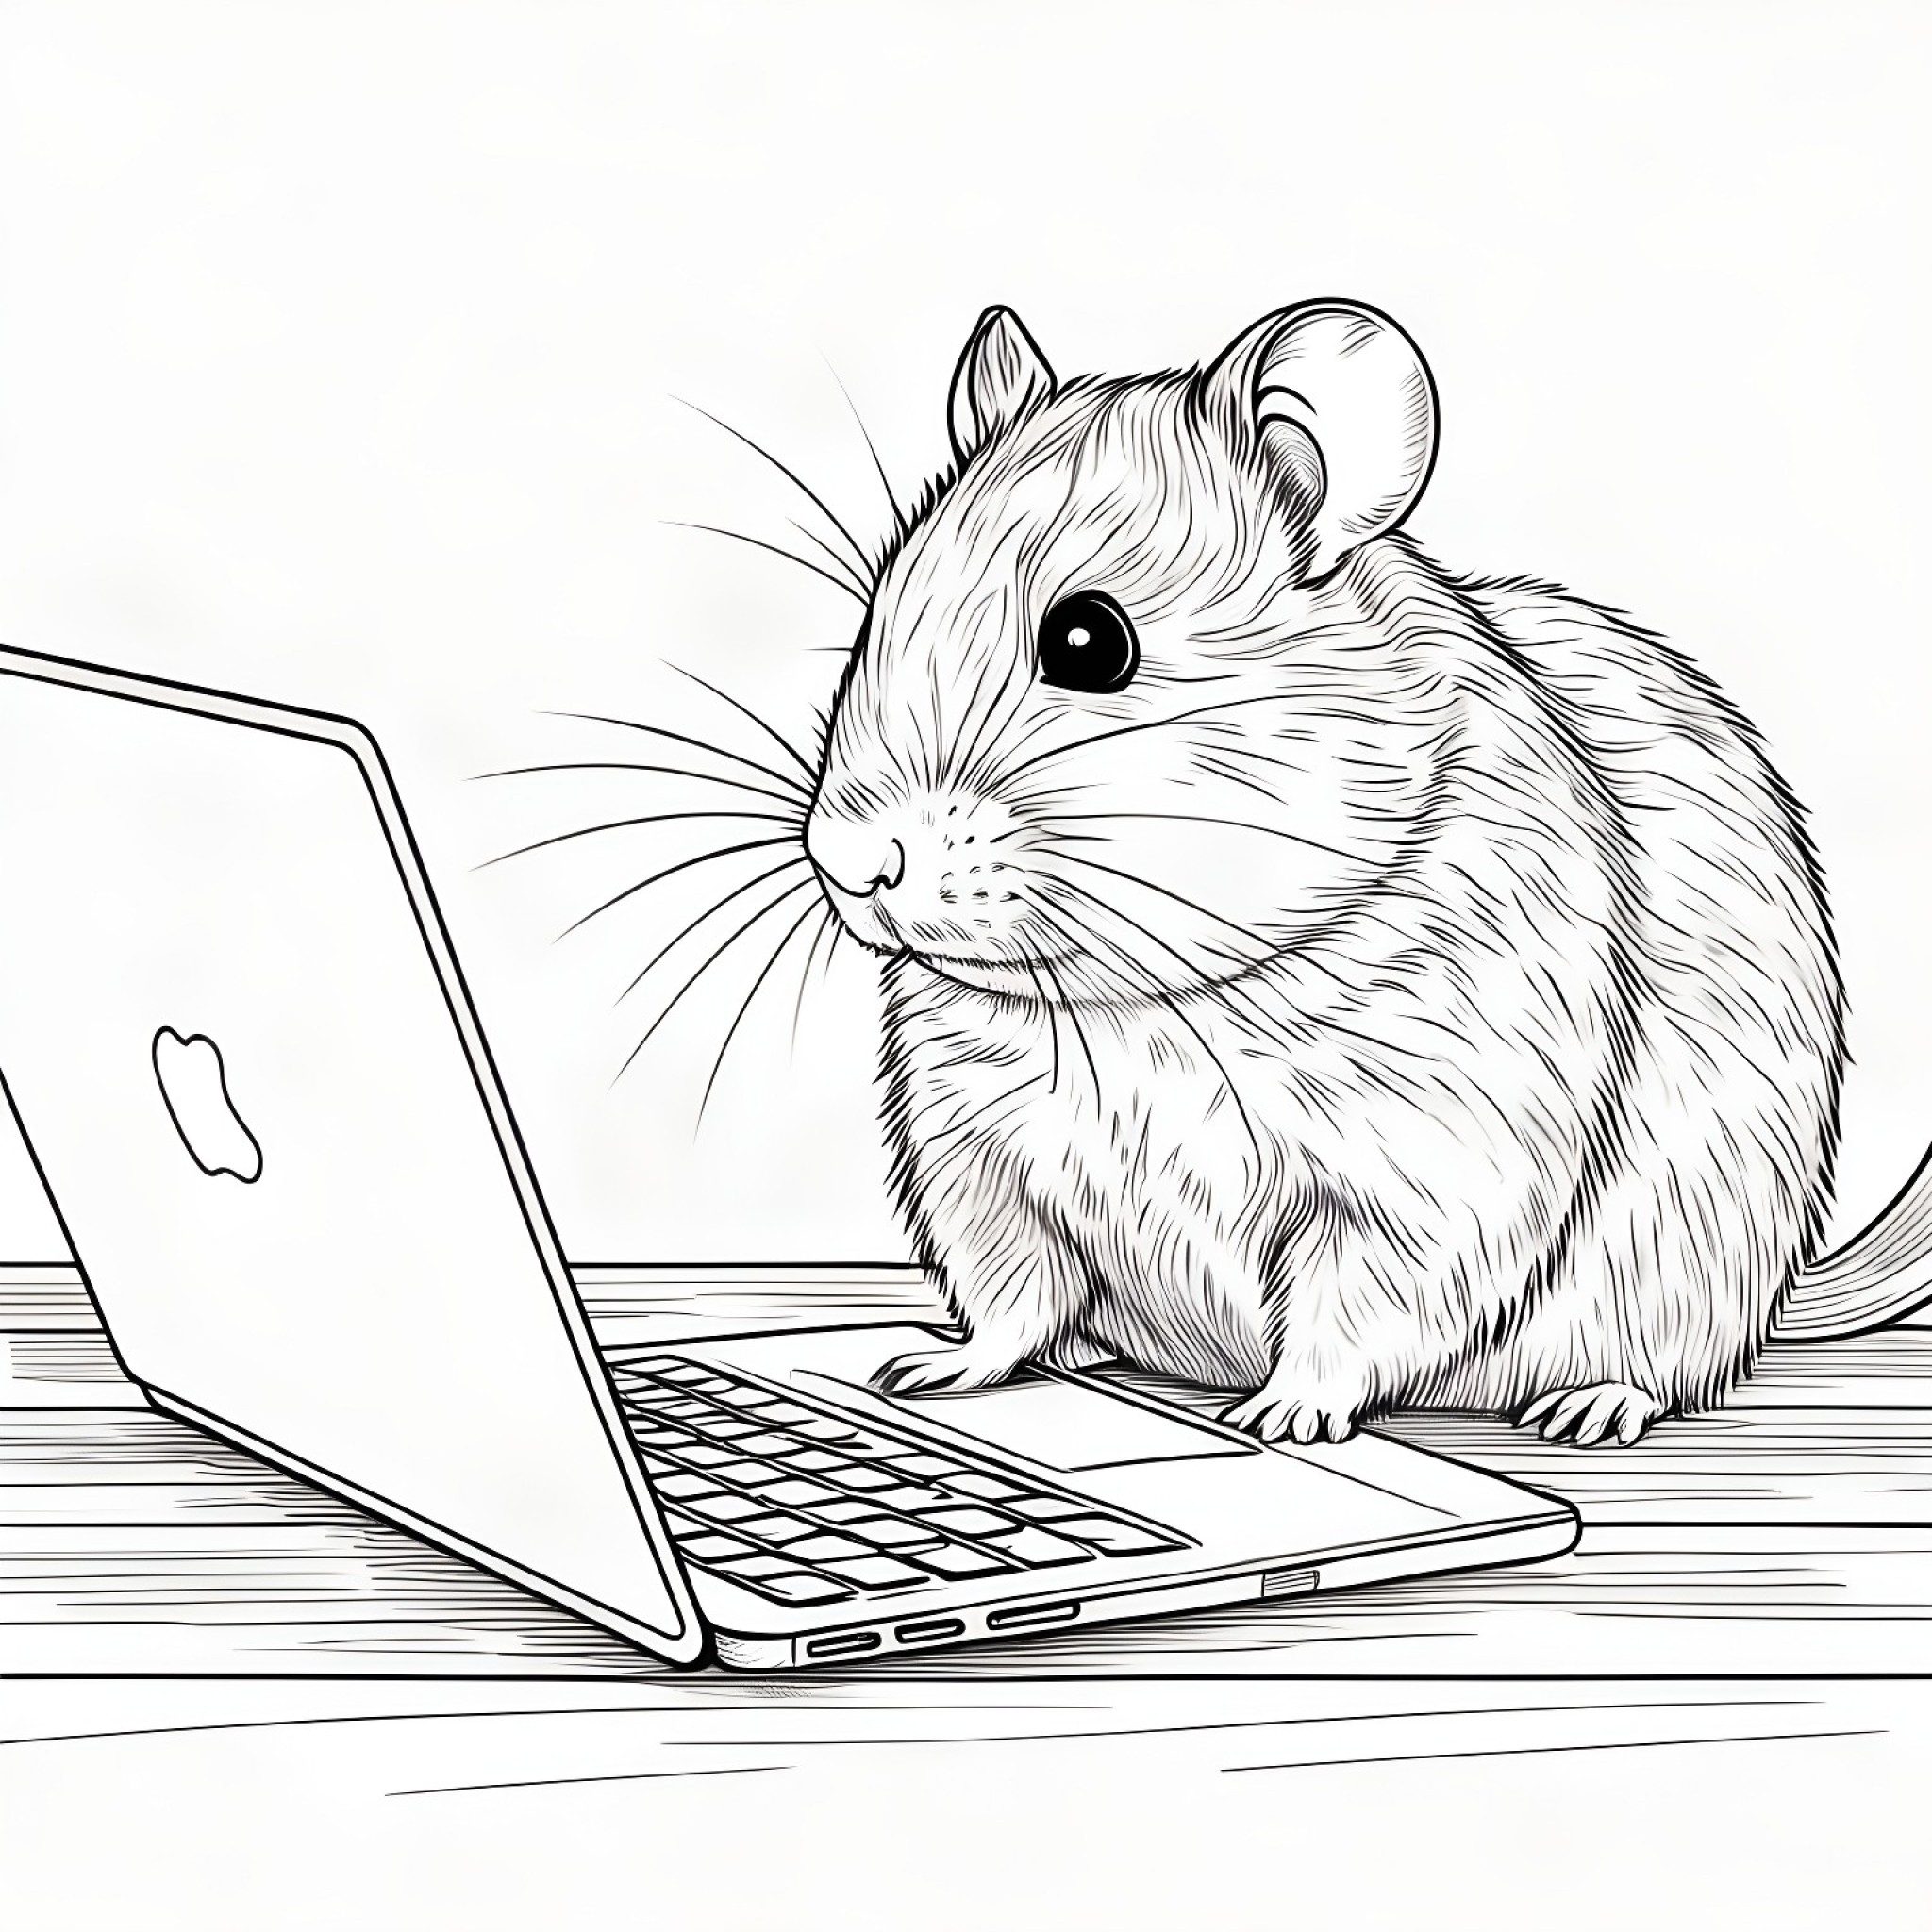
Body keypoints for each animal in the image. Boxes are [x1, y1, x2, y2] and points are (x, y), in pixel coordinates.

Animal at [799, 298, 1864, 1448]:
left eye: (1089, 642)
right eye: (879, 607)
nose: (847, 862)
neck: (1144, 995)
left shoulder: (1427, 1171)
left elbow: (1346, 1312)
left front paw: (1278, 1418)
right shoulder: (981, 1156)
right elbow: (1010, 1299)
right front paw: (922, 1370)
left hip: (1691, 1257)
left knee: (1664, 1361)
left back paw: (1588, 1407)